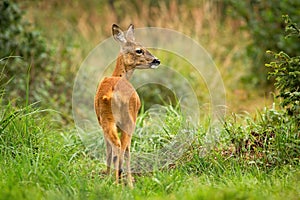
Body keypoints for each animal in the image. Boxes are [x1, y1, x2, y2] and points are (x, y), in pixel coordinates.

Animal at [94, 23, 161, 188]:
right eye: (139, 50)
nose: (156, 60)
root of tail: (113, 93)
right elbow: (125, 150)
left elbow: (108, 150)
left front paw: (107, 177)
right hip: (128, 120)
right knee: (123, 148)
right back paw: (125, 182)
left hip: (108, 120)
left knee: (115, 147)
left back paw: (116, 181)